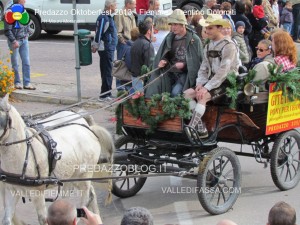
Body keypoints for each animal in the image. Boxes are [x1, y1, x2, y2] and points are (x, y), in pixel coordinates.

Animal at [0, 95, 114, 225]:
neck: (23, 151)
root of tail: (88, 129)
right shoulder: (11, 190)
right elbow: (6, 219)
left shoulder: (37, 194)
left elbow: (43, 219)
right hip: (73, 176)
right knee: (88, 195)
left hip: (84, 175)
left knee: (86, 199)